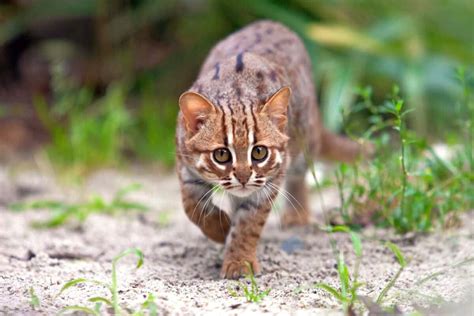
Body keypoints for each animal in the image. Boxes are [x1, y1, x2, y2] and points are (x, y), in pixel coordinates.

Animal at [176, 19, 364, 278]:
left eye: (259, 152)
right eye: (221, 155)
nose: (243, 178)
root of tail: (271, 22)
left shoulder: (269, 181)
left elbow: (249, 224)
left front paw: (239, 261)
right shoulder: (186, 167)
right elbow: (192, 206)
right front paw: (220, 229)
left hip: (303, 140)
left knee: (300, 174)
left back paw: (297, 215)